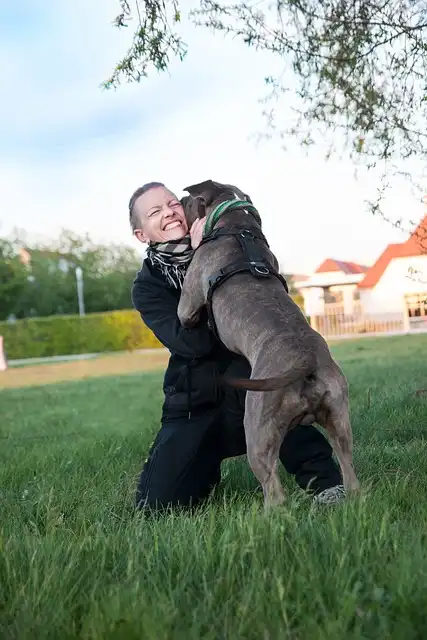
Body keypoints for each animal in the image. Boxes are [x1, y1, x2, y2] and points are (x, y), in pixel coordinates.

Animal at [178, 181, 362, 510]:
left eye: (187, 201)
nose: (177, 202)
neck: (236, 226)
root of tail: (306, 360)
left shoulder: (187, 304)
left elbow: (186, 313)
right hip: (340, 420)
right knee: (349, 470)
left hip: (257, 432)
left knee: (274, 491)